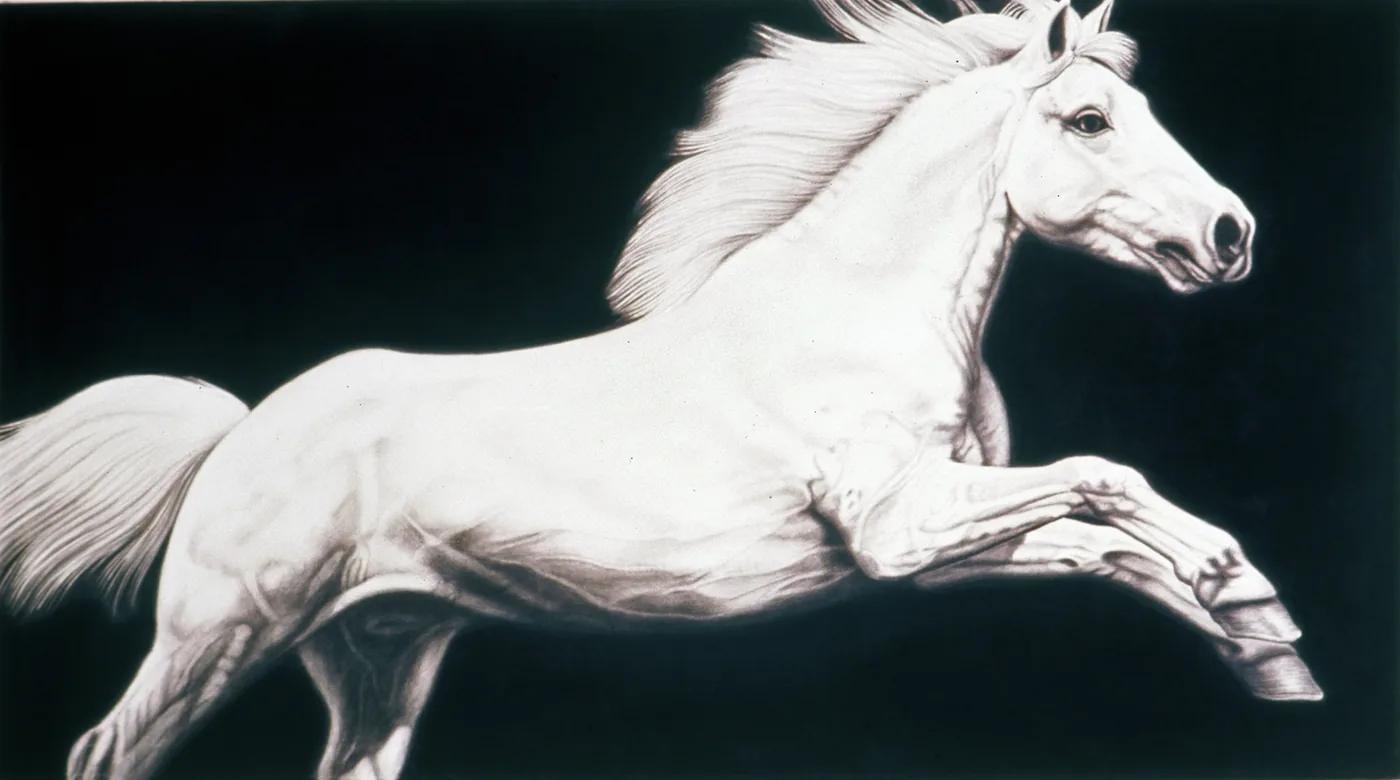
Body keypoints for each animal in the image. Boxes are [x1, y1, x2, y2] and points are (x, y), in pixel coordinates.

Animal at [0, 1, 1322, 778]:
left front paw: (1262, 637)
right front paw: (1234, 581)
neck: (850, 316)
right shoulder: (902, 525)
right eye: (1089, 119)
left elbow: (1097, 542)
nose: (1233, 234)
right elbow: (1106, 480)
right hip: (218, 634)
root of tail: (242, 429)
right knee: (104, 753)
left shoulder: (928, 545)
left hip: (380, 652)